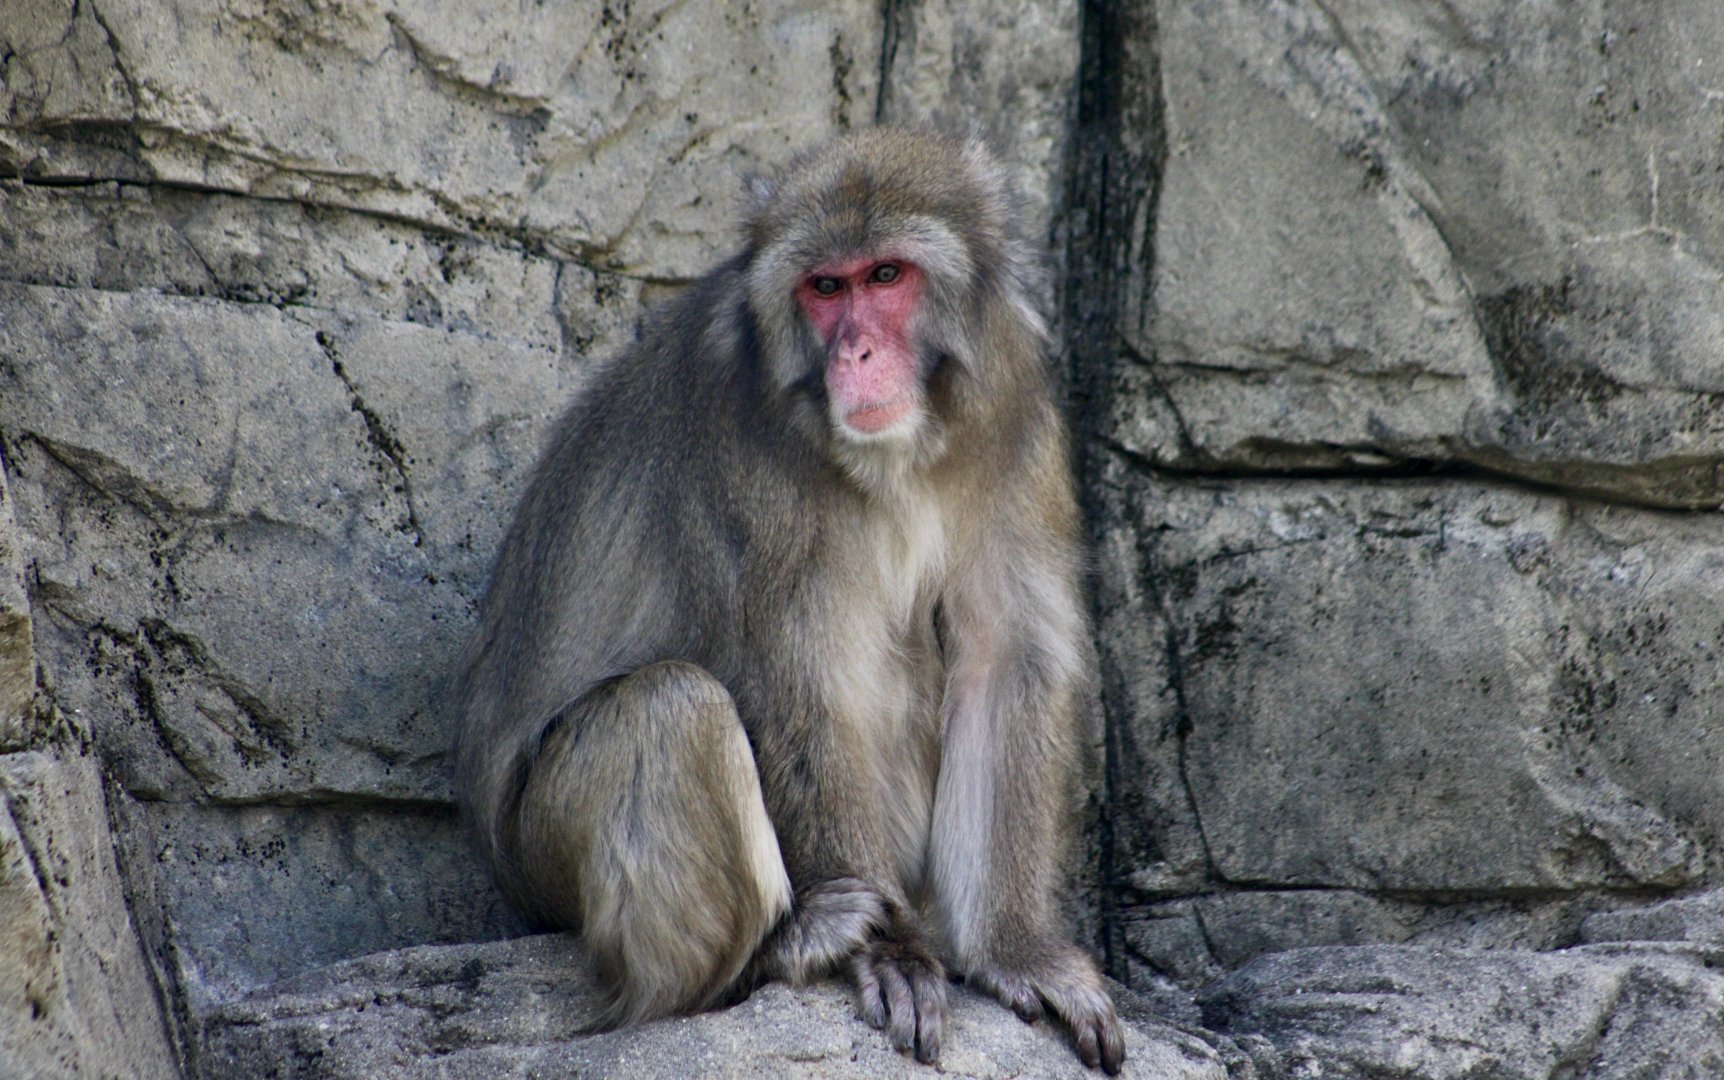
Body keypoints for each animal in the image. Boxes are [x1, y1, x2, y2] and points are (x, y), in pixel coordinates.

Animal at [450, 128, 1125, 1074]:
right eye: (825, 287)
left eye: (886, 276)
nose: (854, 354)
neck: (898, 455)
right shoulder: (740, 444)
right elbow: (795, 677)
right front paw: (890, 953)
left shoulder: (1012, 408)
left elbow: (1002, 661)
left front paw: (1016, 951)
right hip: (537, 857)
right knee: (673, 706)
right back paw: (781, 949)